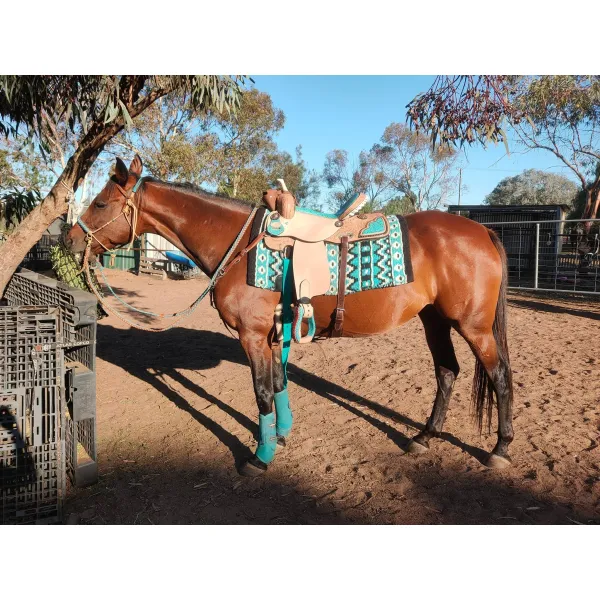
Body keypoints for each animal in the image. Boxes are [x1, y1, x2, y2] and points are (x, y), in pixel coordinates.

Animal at [65, 157, 516, 476]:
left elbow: (263, 393)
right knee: (447, 372)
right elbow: (279, 386)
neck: (239, 245)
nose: (67, 239)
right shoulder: (272, 336)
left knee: (499, 376)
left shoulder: (251, 336)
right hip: (434, 320)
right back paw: (424, 437)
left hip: (473, 327)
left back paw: (499, 449)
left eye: (100, 202)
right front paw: (280, 437)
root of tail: (482, 231)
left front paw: (260, 457)